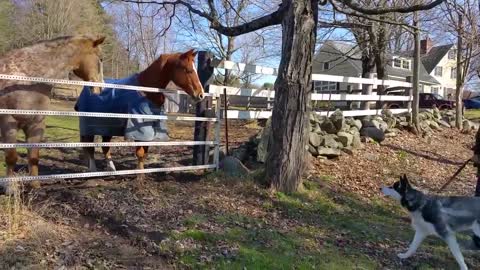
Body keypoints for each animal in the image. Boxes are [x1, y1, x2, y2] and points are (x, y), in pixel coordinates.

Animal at [0, 34, 105, 193]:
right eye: (100, 58)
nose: (100, 89)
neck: (28, 81)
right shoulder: (8, 122)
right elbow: (11, 157)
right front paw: (11, 188)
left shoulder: (36, 123)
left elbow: (33, 157)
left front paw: (35, 185)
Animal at [75, 48, 204, 184]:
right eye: (188, 70)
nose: (200, 94)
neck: (147, 90)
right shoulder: (138, 128)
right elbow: (140, 152)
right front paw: (139, 177)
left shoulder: (149, 129)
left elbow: (145, 152)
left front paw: (141, 174)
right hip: (89, 127)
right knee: (89, 148)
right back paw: (93, 171)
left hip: (107, 127)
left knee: (105, 147)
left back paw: (112, 170)